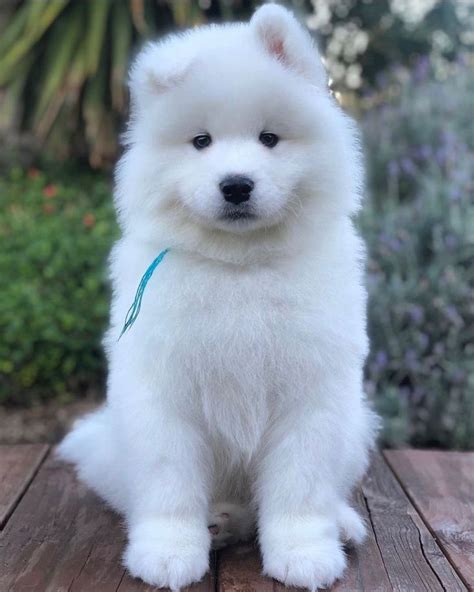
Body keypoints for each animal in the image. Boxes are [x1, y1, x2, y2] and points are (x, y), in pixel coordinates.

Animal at [59, 5, 378, 592]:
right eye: (201, 141)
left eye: (270, 138)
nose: (236, 185)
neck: (240, 266)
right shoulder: (164, 394)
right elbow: (170, 483)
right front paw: (168, 554)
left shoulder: (311, 394)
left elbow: (300, 486)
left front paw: (303, 553)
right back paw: (220, 520)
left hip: (355, 426)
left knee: (321, 491)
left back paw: (339, 523)